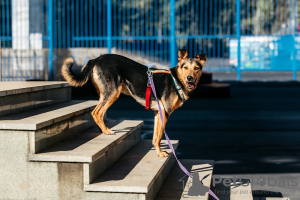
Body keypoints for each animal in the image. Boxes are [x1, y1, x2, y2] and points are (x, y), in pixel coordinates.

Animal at [61, 49, 206, 157]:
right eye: (185, 67)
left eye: (196, 68)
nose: (190, 78)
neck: (176, 80)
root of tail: (96, 59)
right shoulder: (164, 113)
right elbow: (160, 136)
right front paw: (160, 153)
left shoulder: (158, 113)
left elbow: (155, 136)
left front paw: (157, 151)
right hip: (113, 93)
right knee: (96, 112)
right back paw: (106, 131)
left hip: (105, 94)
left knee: (98, 112)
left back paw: (102, 130)